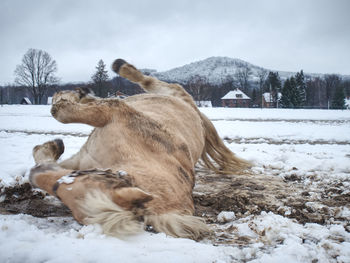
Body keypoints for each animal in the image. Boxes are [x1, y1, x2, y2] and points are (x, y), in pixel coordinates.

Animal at [29, 58, 249, 240]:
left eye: (61, 190)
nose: (34, 176)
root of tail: (194, 109)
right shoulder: (83, 155)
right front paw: (49, 147)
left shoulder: (110, 112)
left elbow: (62, 114)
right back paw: (85, 92)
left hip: (167, 92)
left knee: (152, 82)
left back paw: (118, 68)